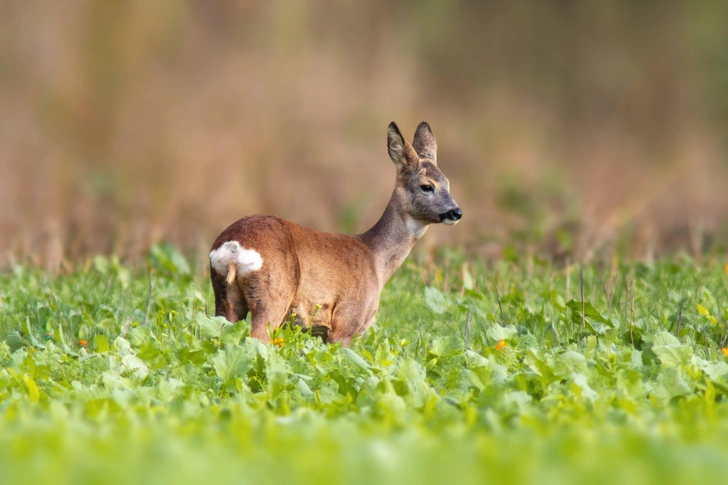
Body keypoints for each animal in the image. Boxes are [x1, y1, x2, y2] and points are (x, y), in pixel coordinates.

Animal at [209, 123, 460, 346]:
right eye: (427, 186)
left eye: (448, 183)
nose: (456, 211)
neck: (375, 258)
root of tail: (234, 247)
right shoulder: (346, 322)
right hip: (272, 295)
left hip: (224, 297)